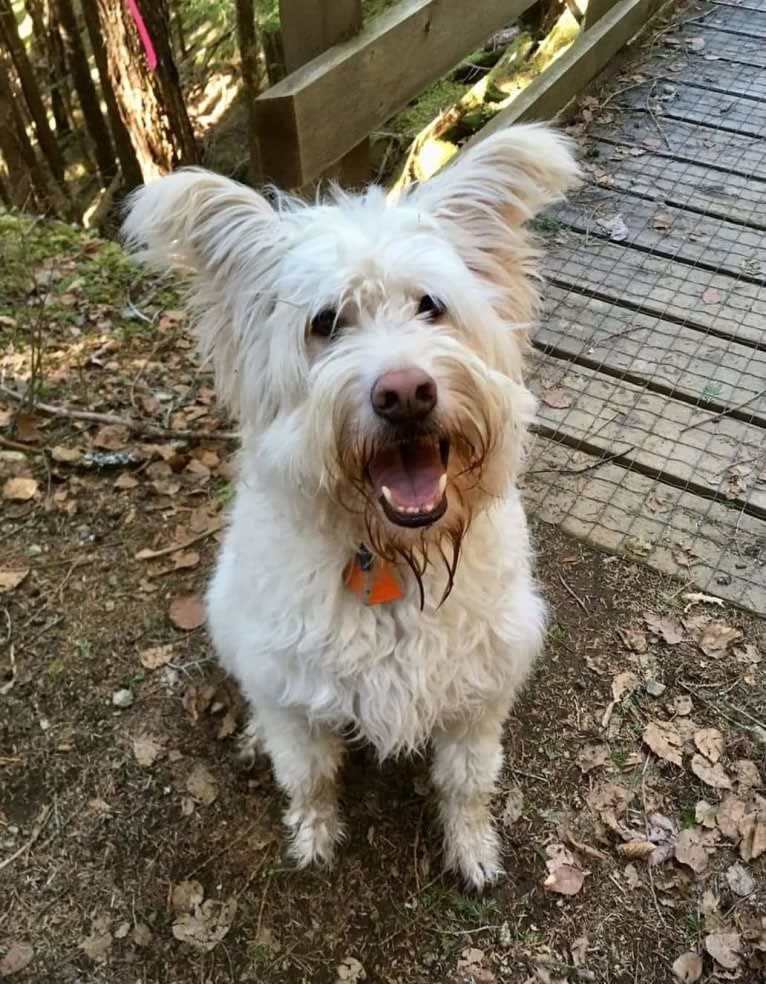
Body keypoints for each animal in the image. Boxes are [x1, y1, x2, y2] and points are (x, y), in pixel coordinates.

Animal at [124, 125, 584, 892]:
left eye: (431, 305)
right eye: (325, 323)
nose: (405, 393)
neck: (396, 555)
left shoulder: (479, 697)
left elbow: (466, 783)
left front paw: (473, 849)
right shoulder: (293, 696)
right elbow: (308, 775)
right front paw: (313, 836)